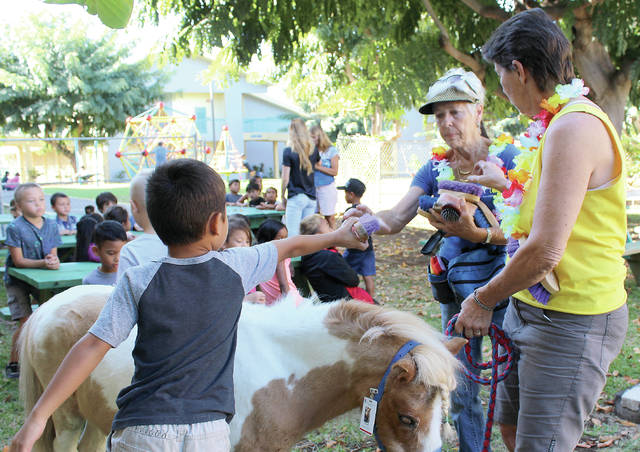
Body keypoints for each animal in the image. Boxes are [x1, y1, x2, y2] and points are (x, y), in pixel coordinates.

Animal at [18, 285, 466, 452]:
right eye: (408, 419)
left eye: (445, 415)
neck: (283, 368)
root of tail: (46, 308)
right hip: (67, 419)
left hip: (98, 421)